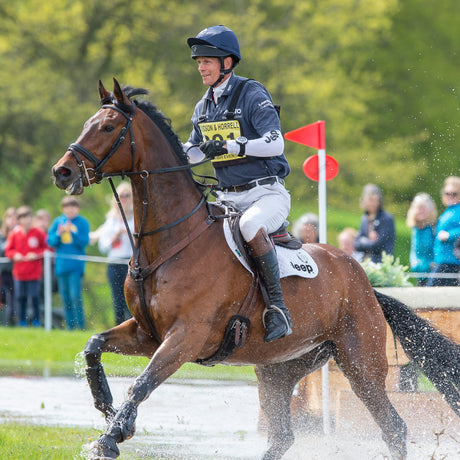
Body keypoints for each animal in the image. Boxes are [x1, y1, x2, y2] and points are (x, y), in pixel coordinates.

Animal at [51, 77, 460, 458]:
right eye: (88, 124)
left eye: (107, 127)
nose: (62, 172)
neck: (170, 241)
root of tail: (364, 282)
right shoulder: (148, 332)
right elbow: (93, 345)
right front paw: (106, 407)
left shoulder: (186, 336)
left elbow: (142, 382)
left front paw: (110, 437)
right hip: (278, 368)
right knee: (282, 436)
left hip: (360, 364)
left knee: (393, 426)